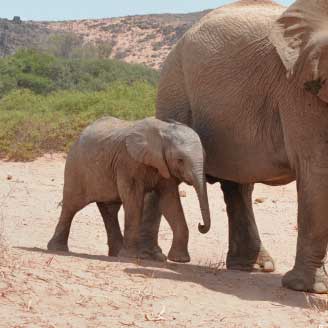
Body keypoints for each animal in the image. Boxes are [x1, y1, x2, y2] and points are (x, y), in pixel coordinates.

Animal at [47, 116, 211, 262]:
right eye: (180, 160)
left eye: (205, 156)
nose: (200, 225)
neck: (162, 132)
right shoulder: (128, 162)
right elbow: (134, 201)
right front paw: (131, 257)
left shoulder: (164, 168)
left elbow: (170, 203)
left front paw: (180, 260)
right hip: (76, 167)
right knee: (71, 206)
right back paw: (57, 249)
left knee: (109, 210)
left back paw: (116, 253)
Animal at [138, 0, 328, 292]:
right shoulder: (301, 89)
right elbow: (317, 171)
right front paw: (304, 288)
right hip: (174, 89)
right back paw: (147, 256)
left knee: (238, 184)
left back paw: (254, 267)